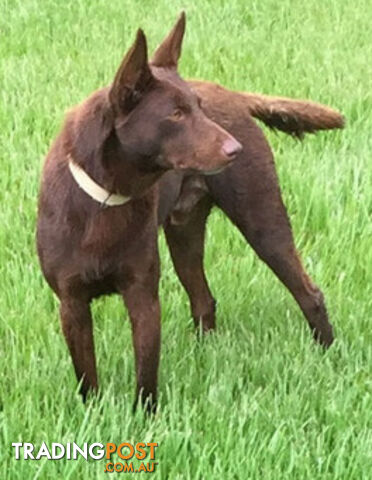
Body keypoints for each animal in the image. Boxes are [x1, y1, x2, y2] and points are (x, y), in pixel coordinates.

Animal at [37, 13, 342, 410]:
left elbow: (145, 377)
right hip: (184, 236)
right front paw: (94, 415)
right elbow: (87, 378)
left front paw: (144, 418)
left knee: (309, 293)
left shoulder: (143, 297)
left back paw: (329, 356)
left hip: (262, 221)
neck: (106, 198)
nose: (235, 149)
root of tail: (234, 96)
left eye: (198, 107)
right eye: (177, 114)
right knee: (203, 299)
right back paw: (206, 356)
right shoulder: (71, 303)